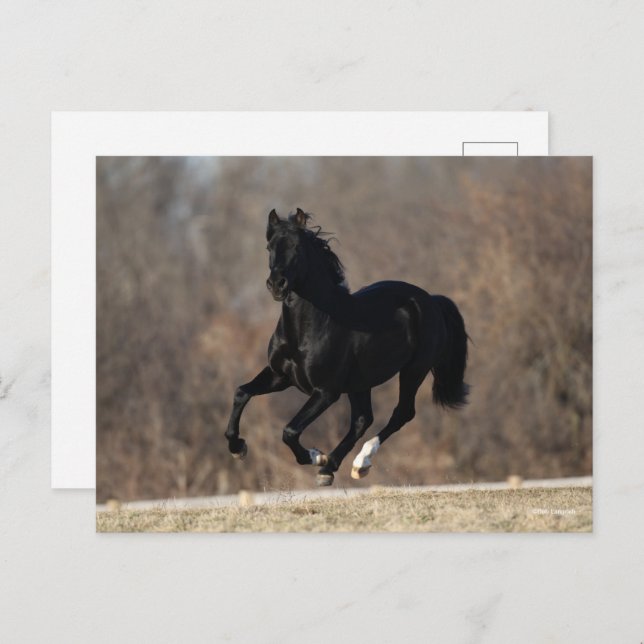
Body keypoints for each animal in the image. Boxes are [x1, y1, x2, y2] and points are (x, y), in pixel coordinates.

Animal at [225, 208, 469, 486]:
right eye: (269, 247)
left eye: (297, 246)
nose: (277, 284)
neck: (308, 329)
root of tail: (431, 300)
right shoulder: (279, 376)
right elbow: (242, 393)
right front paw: (238, 448)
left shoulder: (326, 391)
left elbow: (290, 430)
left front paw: (314, 455)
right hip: (361, 382)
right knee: (363, 419)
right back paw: (329, 468)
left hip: (413, 371)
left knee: (402, 413)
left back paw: (358, 462)